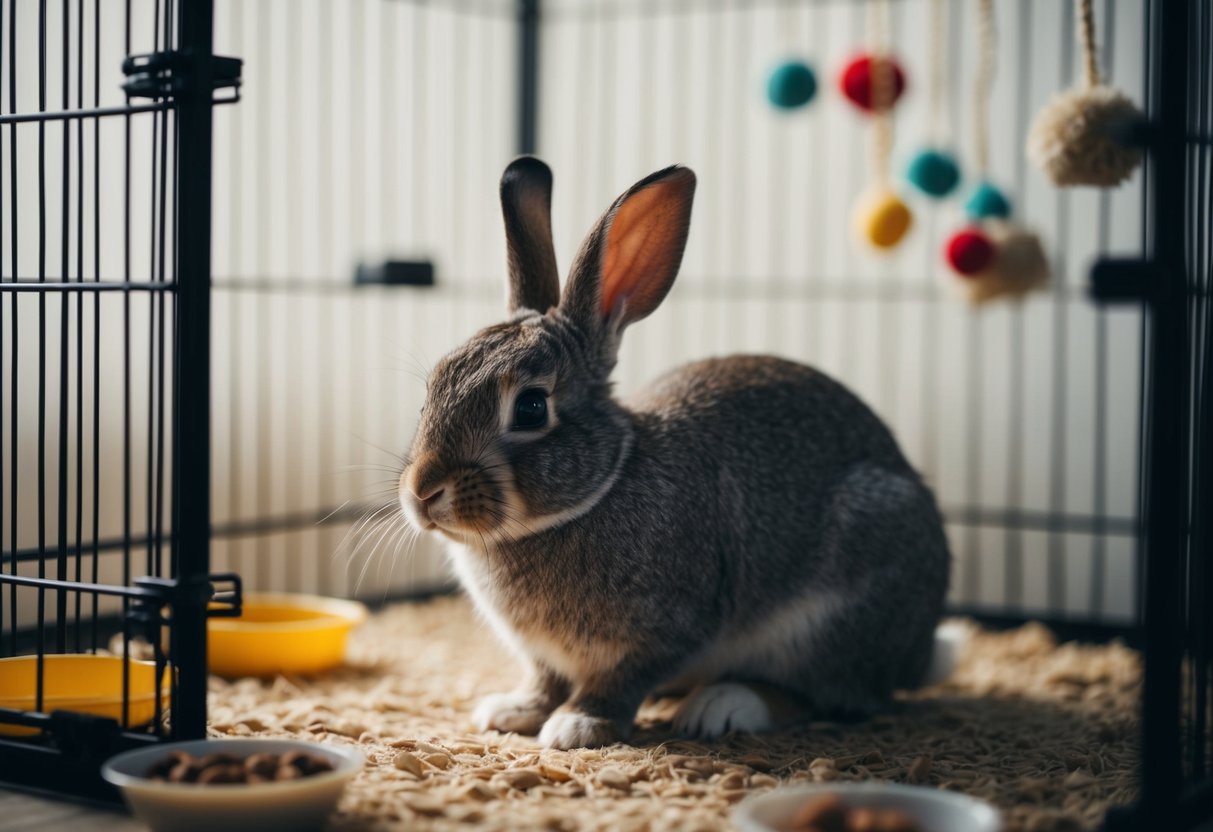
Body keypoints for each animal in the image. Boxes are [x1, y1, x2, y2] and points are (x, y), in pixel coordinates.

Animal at [398, 156, 951, 750]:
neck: (601, 488)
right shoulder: (544, 657)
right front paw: (515, 710)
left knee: (828, 696)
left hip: (835, 608)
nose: (422, 492)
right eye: (432, 387)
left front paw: (577, 725)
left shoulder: (669, 629)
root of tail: (917, 655)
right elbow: (544, 679)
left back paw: (722, 705)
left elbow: (620, 681)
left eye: (529, 409)